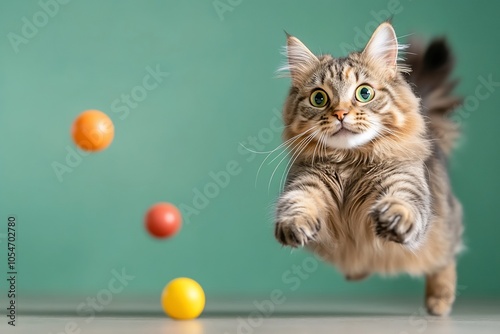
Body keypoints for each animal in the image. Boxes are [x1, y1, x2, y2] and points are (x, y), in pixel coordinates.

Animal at [276, 21, 462, 316]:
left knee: (446, 259)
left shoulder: (404, 181)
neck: (350, 162)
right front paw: (294, 224)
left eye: (364, 93)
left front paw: (394, 218)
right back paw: (356, 270)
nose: (340, 114)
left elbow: (402, 202)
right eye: (319, 98)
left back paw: (439, 301)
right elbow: (297, 202)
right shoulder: (306, 181)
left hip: (443, 231)